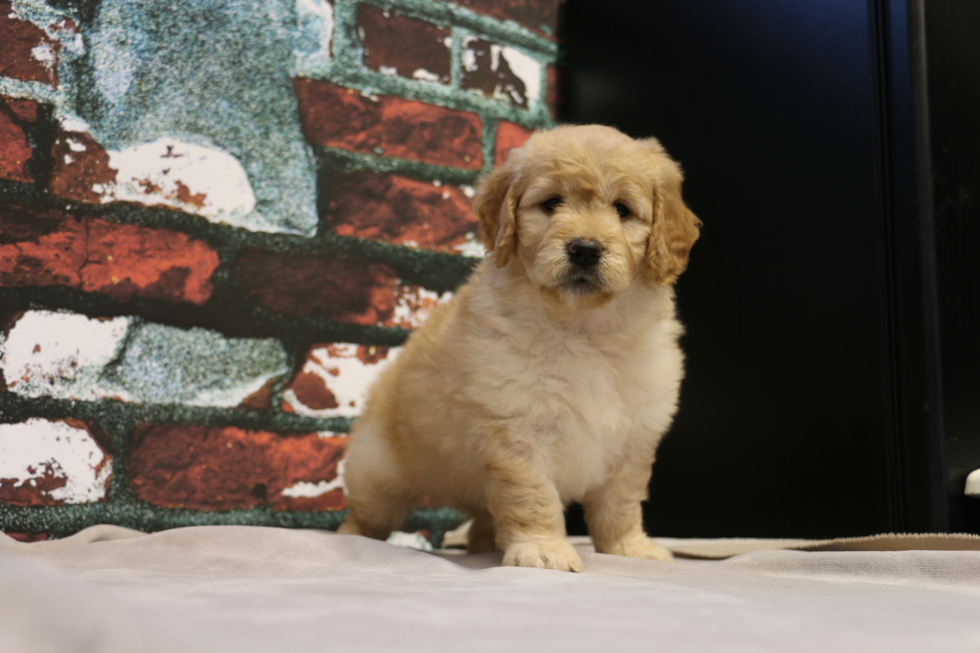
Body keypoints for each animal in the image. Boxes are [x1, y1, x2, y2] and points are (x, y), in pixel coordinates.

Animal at [340, 123, 700, 572]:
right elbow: (532, 496)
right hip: (377, 471)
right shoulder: (517, 427)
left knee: (482, 522)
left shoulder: (632, 437)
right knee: (368, 514)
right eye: (551, 203)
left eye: (622, 210)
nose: (585, 248)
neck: (582, 326)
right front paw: (543, 549)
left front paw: (629, 547)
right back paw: (353, 537)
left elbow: (622, 502)